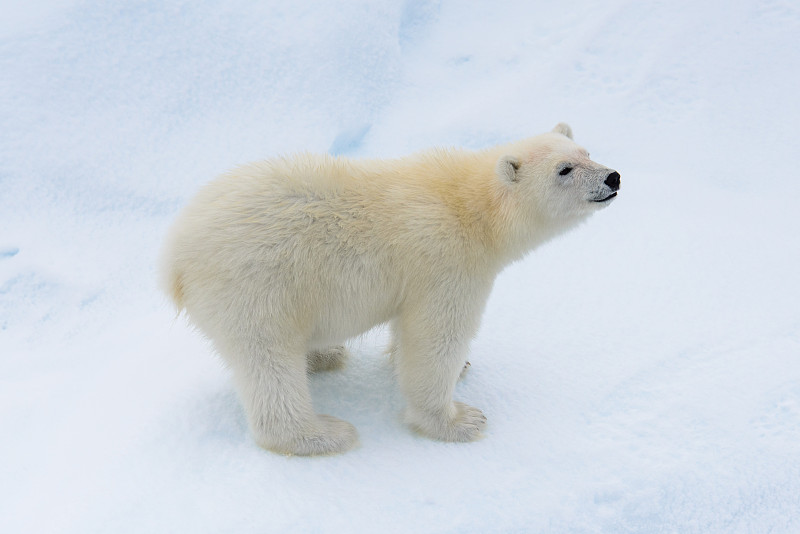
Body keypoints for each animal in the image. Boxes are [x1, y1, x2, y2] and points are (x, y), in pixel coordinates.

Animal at [158, 124, 620, 456]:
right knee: (268, 360)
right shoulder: (445, 262)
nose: (613, 176)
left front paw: (462, 368)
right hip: (257, 284)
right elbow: (435, 338)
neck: (472, 208)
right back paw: (325, 434)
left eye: (586, 152)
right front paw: (461, 420)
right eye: (564, 170)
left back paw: (324, 354)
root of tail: (175, 257)